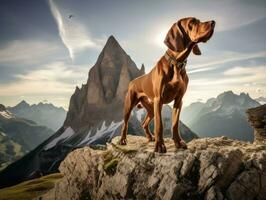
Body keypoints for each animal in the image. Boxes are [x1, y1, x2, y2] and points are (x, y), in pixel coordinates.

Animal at [119, 17, 215, 152]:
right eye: (192, 22)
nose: (213, 22)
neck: (177, 63)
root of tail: (132, 81)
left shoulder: (179, 100)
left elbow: (175, 124)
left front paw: (178, 142)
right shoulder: (159, 99)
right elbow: (159, 125)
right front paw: (160, 145)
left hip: (150, 108)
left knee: (144, 123)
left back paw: (150, 137)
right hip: (130, 105)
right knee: (125, 123)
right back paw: (123, 139)